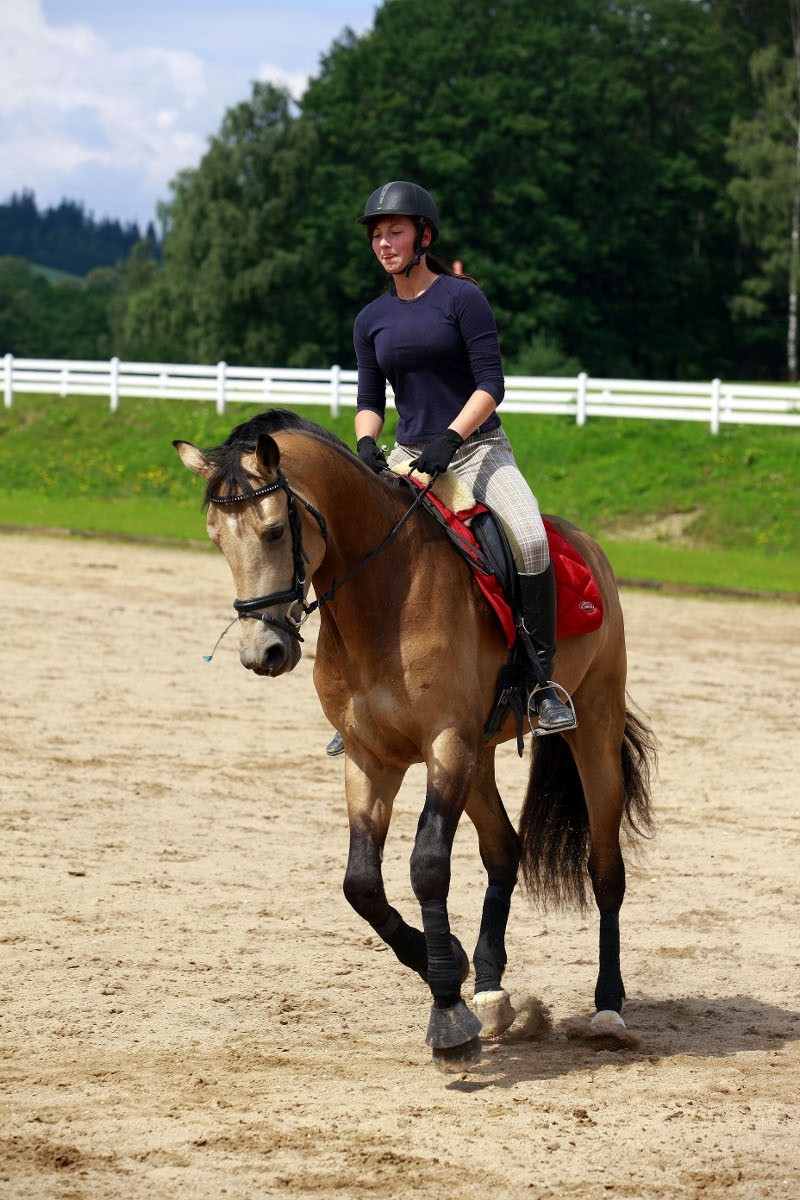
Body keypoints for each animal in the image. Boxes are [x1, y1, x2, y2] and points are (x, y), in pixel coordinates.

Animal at [175, 410, 657, 1070]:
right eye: (216, 539)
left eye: (273, 532)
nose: (262, 652)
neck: (382, 595)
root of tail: (586, 546)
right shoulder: (369, 757)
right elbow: (361, 884)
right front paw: (443, 964)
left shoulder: (445, 745)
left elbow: (428, 866)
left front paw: (448, 1018)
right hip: (480, 756)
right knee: (503, 850)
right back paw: (492, 993)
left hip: (594, 728)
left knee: (605, 870)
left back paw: (608, 1009)